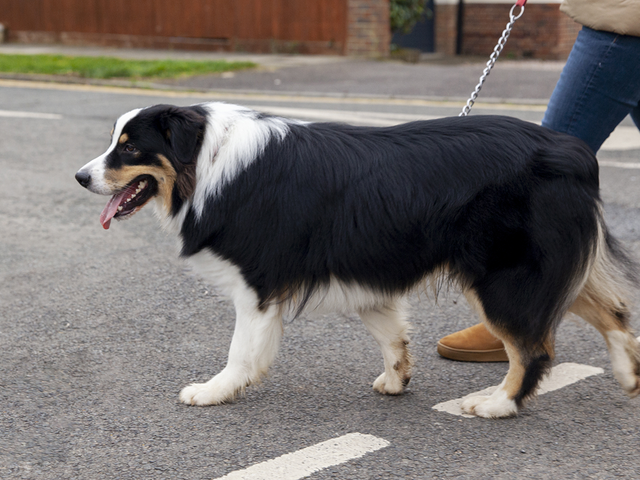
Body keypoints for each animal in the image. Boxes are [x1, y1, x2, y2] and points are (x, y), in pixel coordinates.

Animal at [76, 103, 640, 418]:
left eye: (129, 148)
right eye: (115, 143)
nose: (80, 177)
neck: (209, 160)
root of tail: (575, 151)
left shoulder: (257, 283)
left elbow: (242, 350)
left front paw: (214, 391)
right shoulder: (364, 269)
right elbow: (391, 333)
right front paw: (396, 379)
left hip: (504, 276)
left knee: (534, 348)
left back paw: (496, 404)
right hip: (552, 264)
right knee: (612, 310)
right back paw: (629, 372)